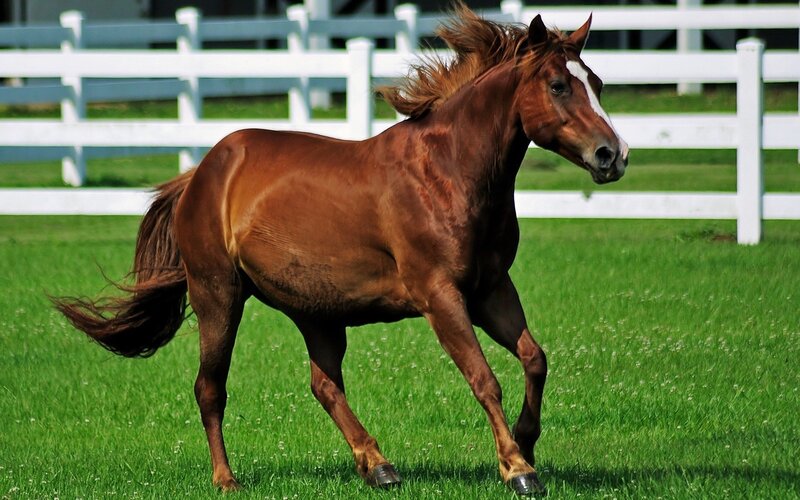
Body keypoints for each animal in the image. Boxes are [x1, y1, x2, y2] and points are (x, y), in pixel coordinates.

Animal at [54, 5, 627, 496]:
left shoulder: (490, 290)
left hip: (318, 313)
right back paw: (227, 479)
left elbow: (535, 358)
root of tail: (202, 172)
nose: (613, 155)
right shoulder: (440, 296)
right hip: (218, 295)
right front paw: (516, 469)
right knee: (210, 387)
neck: (447, 172)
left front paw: (527, 443)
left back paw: (378, 466)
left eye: (597, 83)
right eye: (558, 85)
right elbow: (484, 380)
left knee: (324, 385)